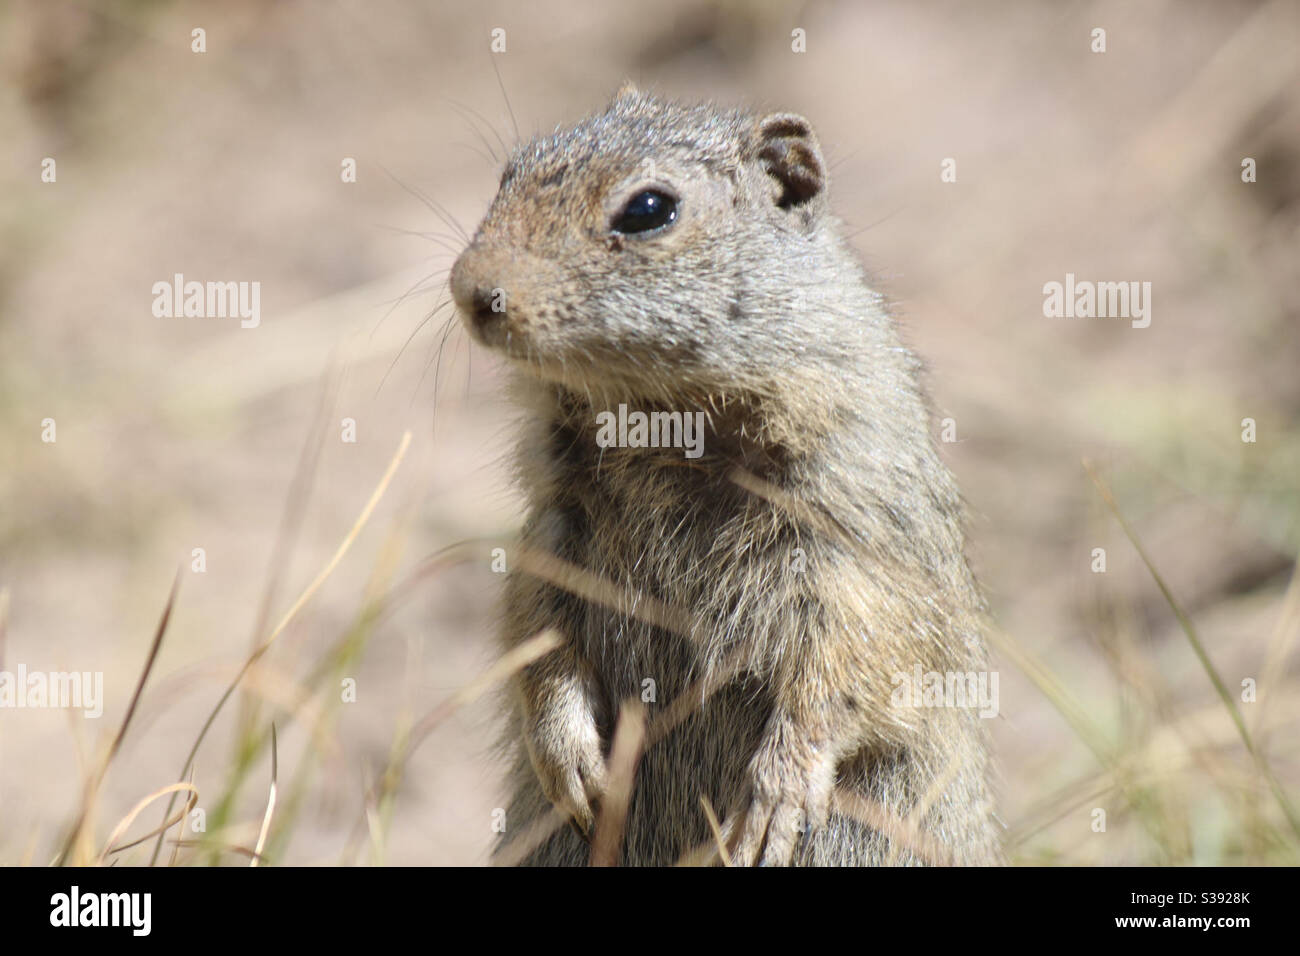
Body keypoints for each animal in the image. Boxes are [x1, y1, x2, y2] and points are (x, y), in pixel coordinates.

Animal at [452, 87, 998, 868]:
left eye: (648, 209)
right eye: (508, 174)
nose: (471, 290)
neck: (661, 424)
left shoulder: (851, 533)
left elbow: (844, 668)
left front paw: (774, 801)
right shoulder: (555, 525)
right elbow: (536, 629)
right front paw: (572, 763)